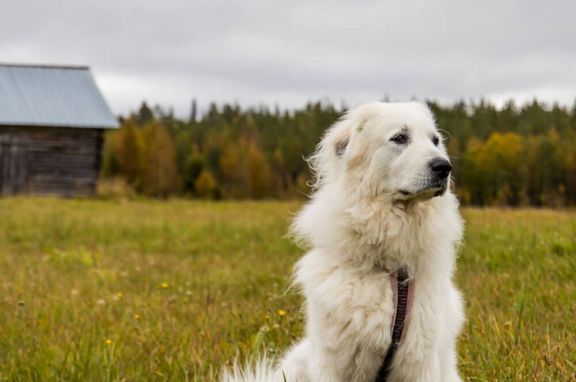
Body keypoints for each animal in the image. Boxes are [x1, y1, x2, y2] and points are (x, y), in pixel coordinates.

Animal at [223, 101, 466, 382]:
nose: (444, 167)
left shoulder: (420, 361)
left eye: (435, 140)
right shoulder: (332, 360)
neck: (388, 268)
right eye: (400, 137)